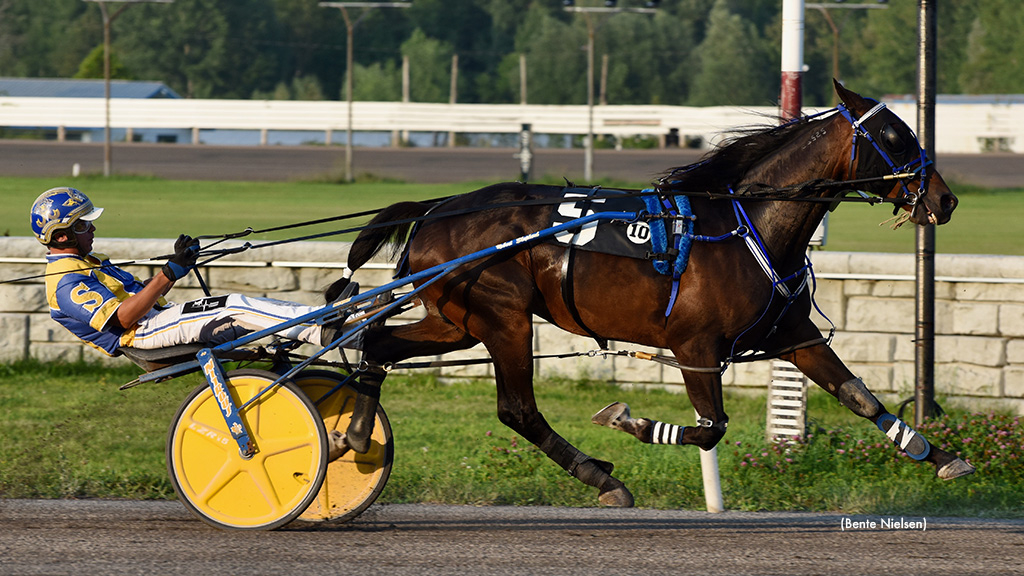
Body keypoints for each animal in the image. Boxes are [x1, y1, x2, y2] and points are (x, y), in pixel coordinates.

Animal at [329, 83, 974, 504]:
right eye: (895, 135)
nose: (945, 200)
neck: (746, 224)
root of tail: (436, 208)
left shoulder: (792, 333)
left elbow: (858, 396)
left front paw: (938, 456)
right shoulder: (695, 345)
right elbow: (710, 427)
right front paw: (629, 421)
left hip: (456, 320)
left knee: (378, 344)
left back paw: (356, 436)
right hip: (502, 318)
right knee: (518, 409)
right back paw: (602, 478)